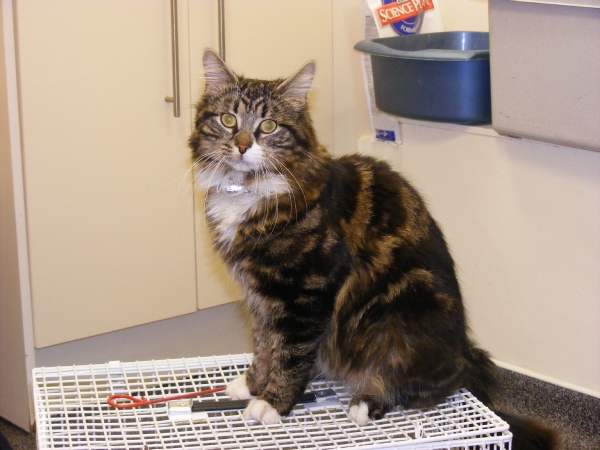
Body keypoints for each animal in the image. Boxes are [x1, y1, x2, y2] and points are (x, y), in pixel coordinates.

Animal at [189, 50, 556, 450]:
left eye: (268, 126)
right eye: (228, 119)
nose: (242, 145)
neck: (248, 191)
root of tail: (465, 352)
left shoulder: (306, 292)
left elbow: (289, 354)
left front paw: (273, 402)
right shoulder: (259, 294)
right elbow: (265, 344)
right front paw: (252, 384)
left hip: (396, 318)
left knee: (422, 384)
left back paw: (367, 401)